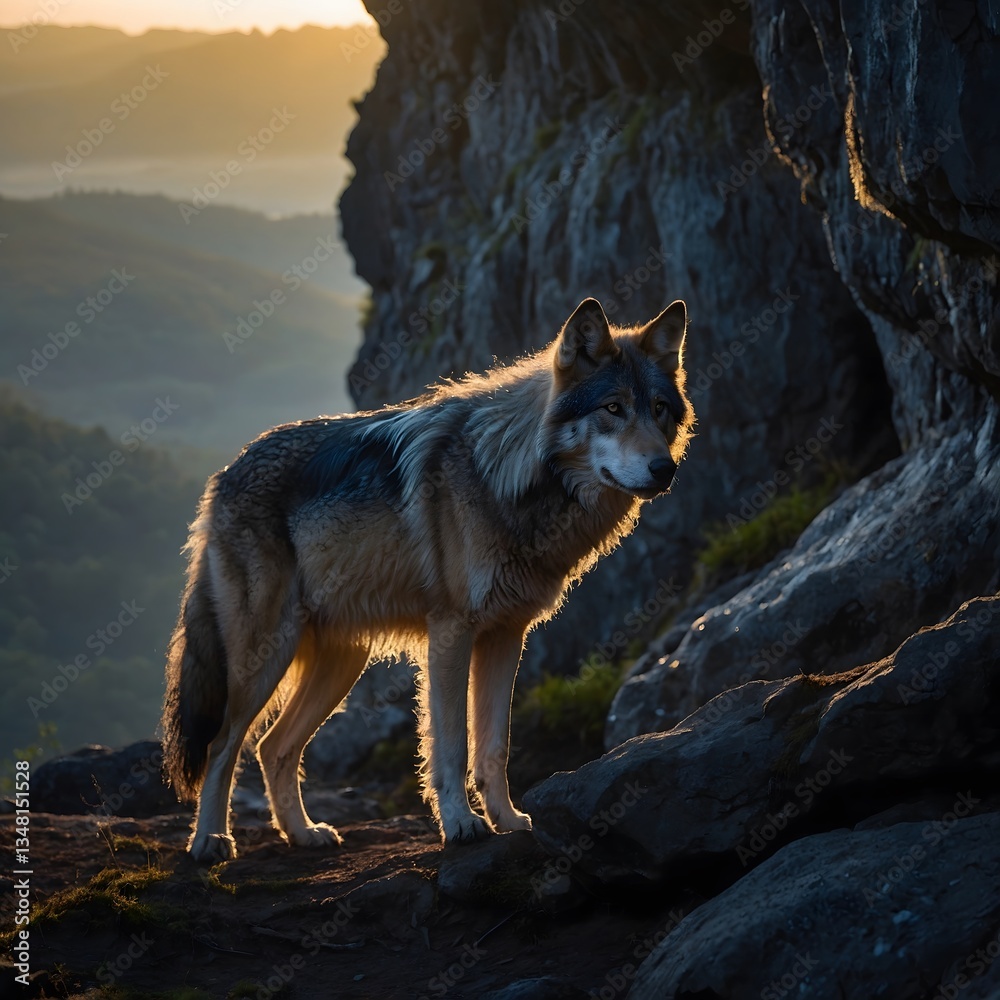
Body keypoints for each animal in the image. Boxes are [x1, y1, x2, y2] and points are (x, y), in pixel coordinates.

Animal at [162, 297, 694, 862]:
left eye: (660, 408)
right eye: (612, 408)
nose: (664, 469)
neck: (507, 477)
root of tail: (222, 476)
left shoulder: (507, 635)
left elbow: (494, 745)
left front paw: (509, 822)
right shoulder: (451, 633)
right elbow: (451, 744)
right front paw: (460, 824)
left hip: (343, 663)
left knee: (272, 746)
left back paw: (303, 833)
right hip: (265, 656)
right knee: (223, 744)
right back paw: (210, 840)